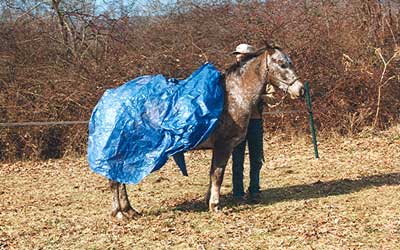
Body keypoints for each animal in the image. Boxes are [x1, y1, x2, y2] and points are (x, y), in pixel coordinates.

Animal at [106, 45, 304, 219]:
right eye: (282, 64)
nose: (300, 89)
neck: (233, 97)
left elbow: (212, 173)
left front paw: (208, 201)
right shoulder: (224, 146)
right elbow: (218, 175)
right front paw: (215, 206)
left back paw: (129, 210)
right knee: (114, 180)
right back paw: (119, 213)